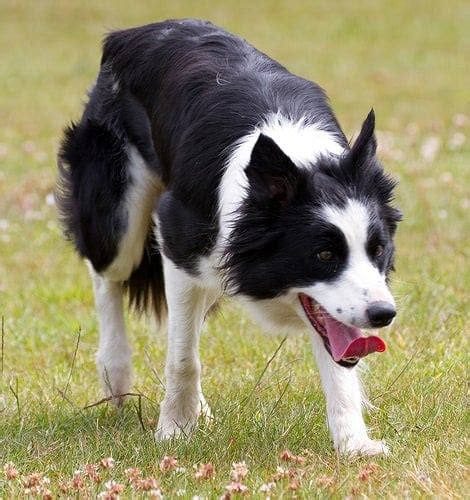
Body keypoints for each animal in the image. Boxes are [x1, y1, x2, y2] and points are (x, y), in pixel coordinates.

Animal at [56, 19, 400, 456]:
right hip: (118, 209)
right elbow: (183, 357)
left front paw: (354, 444)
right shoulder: (177, 238)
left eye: (378, 249)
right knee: (107, 276)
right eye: (323, 255)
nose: (383, 314)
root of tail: (133, 31)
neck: (295, 159)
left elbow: (339, 360)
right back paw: (115, 373)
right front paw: (175, 430)